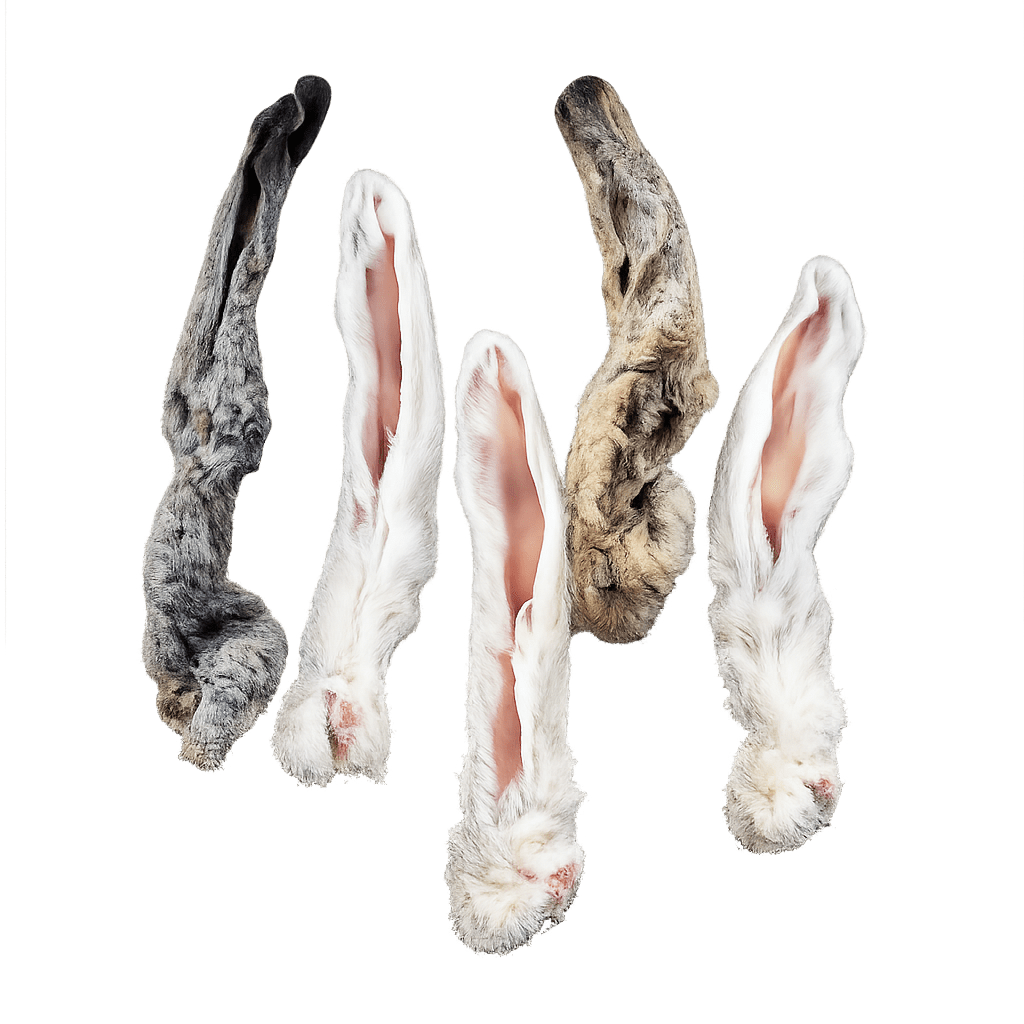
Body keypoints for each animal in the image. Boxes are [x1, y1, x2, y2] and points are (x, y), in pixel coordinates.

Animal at [139, 75, 331, 773]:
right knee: (243, 271)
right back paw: (287, 125)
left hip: (204, 393)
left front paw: (196, 742)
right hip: (221, 394)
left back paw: (282, 128)